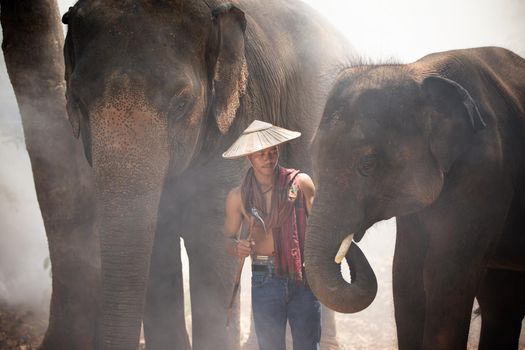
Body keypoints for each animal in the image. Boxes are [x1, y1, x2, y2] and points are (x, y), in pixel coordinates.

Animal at [302, 47, 524, 350]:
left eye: (368, 163)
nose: (349, 245)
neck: (419, 71)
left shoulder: (486, 175)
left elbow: (445, 278)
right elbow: (406, 278)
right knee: (501, 304)